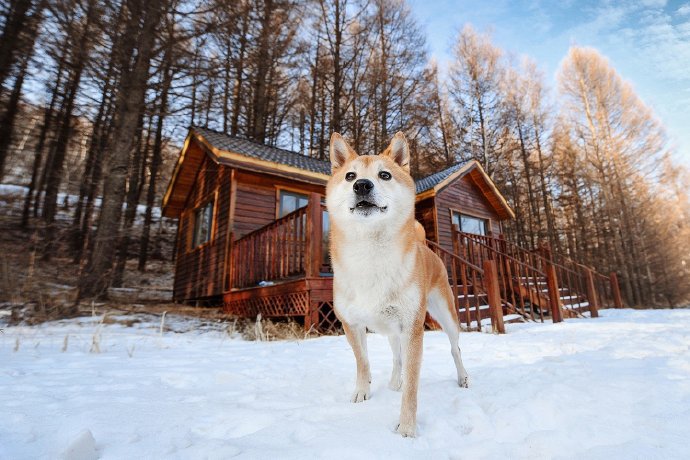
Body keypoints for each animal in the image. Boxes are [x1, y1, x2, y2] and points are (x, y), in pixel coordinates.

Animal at [324, 131, 468, 436]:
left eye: (385, 175)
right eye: (350, 175)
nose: (362, 185)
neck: (371, 257)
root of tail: (426, 246)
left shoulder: (413, 328)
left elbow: (413, 386)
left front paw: (407, 428)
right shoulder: (351, 324)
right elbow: (363, 362)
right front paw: (362, 391)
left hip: (445, 315)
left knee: (455, 348)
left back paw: (462, 377)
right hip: (390, 329)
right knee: (396, 357)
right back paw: (393, 381)